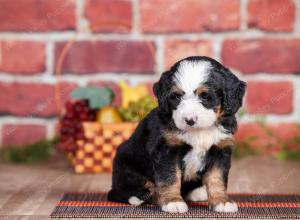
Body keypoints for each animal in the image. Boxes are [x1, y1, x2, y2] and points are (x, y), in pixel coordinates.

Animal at [108, 56, 246, 213]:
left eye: (205, 96)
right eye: (177, 97)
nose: (189, 120)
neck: (199, 131)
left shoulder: (220, 149)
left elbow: (217, 178)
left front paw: (221, 202)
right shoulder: (167, 150)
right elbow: (170, 177)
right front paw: (172, 201)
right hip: (125, 163)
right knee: (124, 190)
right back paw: (142, 196)